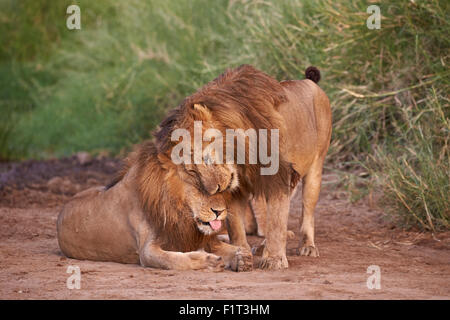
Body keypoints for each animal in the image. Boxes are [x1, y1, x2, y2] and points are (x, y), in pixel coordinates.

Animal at [55, 141, 253, 272]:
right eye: (199, 187)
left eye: (222, 188)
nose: (220, 212)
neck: (177, 211)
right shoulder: (146, 250)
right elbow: (173, 260)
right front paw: (209, 261)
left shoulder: (193, 236)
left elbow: (225, 248)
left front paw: (241, 257)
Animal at [153, 65, 332, 270]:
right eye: (191, 171)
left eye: (204, 158)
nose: (215, 189)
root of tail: (309, 81)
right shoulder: (237, 189)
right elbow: (237, 225)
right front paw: (240, 253)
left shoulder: (279, 176)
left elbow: (277, 221)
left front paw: (275, 259)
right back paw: (262, 247)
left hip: (316, 167)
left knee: (307, 211)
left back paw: (307, 246)